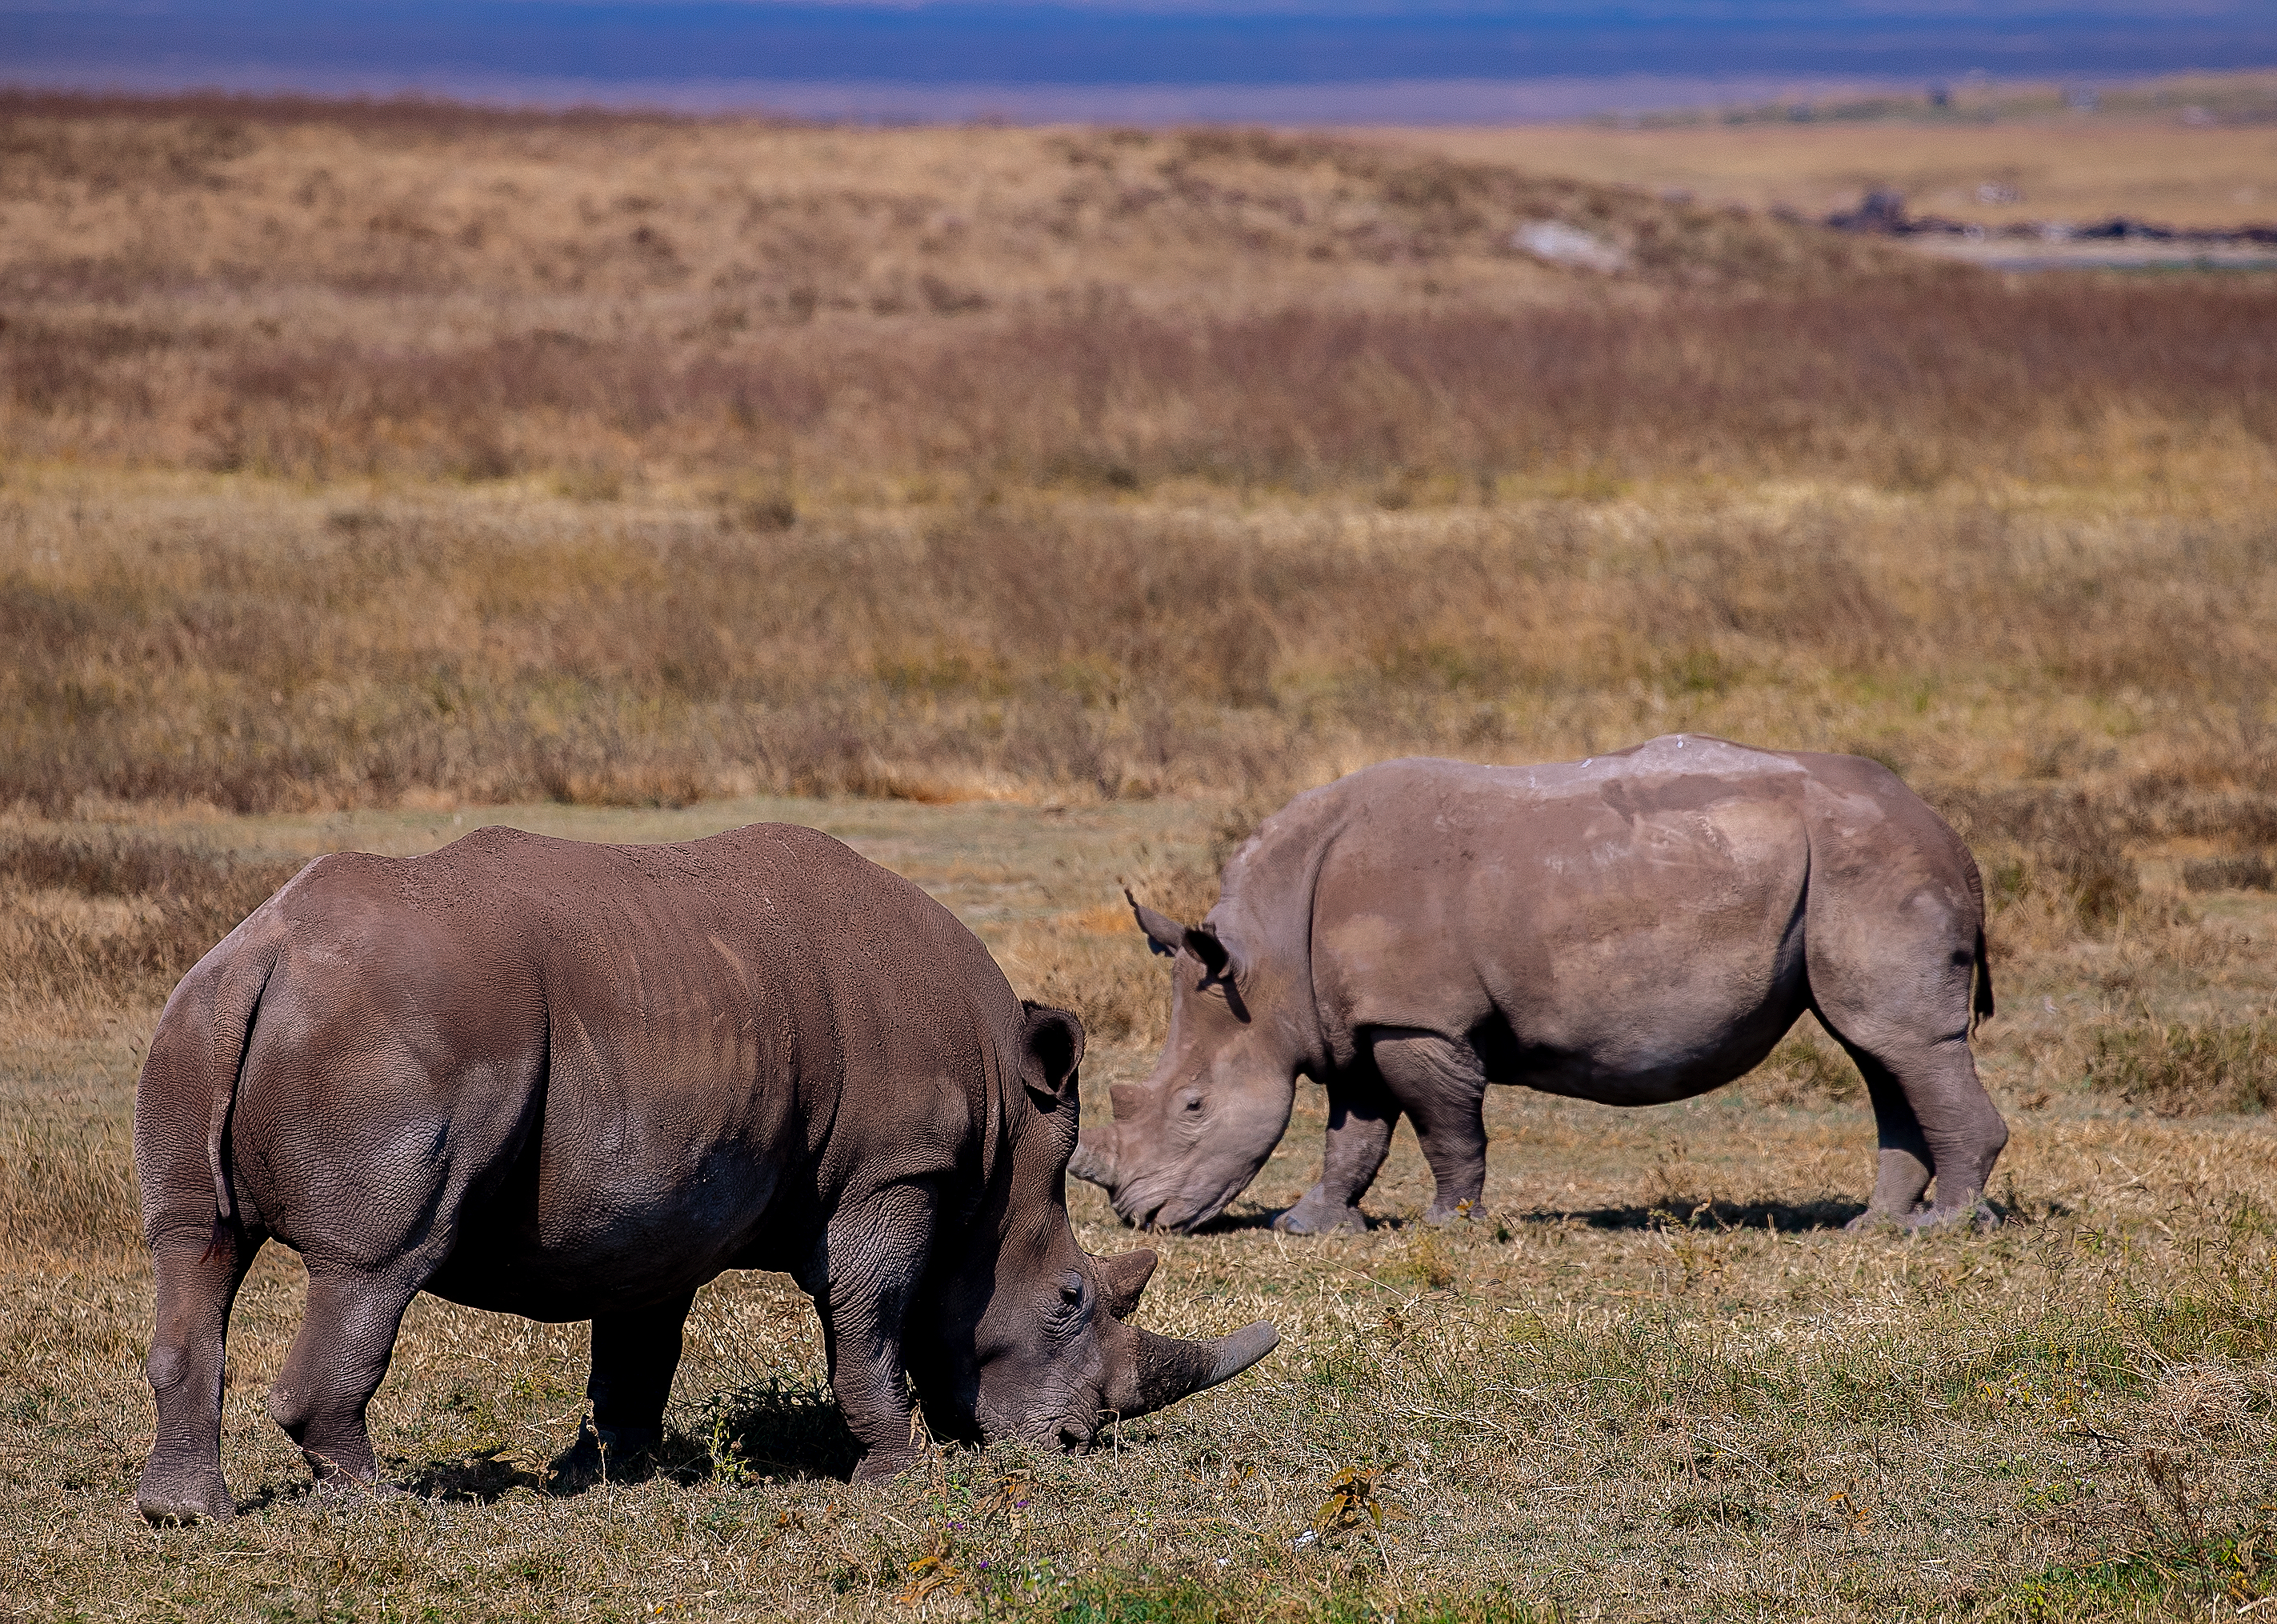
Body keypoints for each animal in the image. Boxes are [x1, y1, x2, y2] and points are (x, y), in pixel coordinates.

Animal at [133, 824, 1276, 1524]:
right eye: (1072, 1298)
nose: (1072, 1441)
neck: (1002, 1142)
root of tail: (268, 951)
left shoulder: (658, 1196)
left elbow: (640, 1339)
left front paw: (608, 1471)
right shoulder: (894, 1170)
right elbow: (872, 1313)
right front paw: (895, 1471)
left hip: (199, 1011)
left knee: (196, 1247)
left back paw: (184, 1513)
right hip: (394, 1032)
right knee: (374, 1266)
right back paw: (385, 1503)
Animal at [1070, 737, 2007, 1236]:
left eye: (1192, 1106)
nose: (1136, 1215)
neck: (1262, 968)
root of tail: (1951, 834)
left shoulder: (1419, 1022)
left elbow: (1445, 1127)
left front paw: (1449, 1224)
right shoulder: (1359, 1022)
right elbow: (1355, 1133)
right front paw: (1309, 1225)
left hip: (1875, 863)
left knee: (1901, 1043)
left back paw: (1943, 1227)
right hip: (1858, 865)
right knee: (1877, 1050)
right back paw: (1873, 1226)